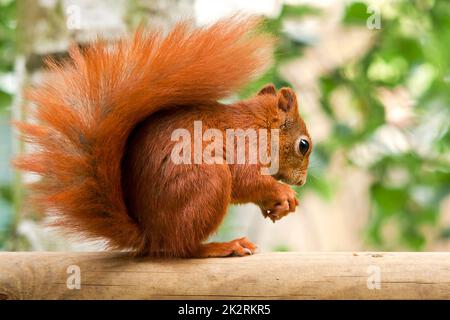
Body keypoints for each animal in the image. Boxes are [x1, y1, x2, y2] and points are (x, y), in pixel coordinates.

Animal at [14, 16, 312, 258]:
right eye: (303, 145)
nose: (301, 181)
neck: (261, 125)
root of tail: (151, 235)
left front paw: (274, 206)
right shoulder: (245, 145)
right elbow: (245, 180)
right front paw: (283, 193)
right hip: (208, 182)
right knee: (183, 248)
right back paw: (220, 247)